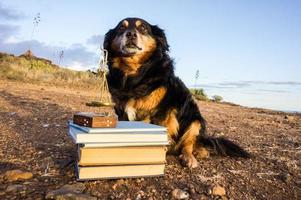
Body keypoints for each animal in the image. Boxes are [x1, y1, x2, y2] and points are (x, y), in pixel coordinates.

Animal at [103, 17, 248, 168]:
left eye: (143, 28)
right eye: (121, 28)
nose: (131, 34)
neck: (133, 74)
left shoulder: (163, 112)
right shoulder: (121, 110)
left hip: (195, 120)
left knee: (188, 144)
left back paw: (191, 157)